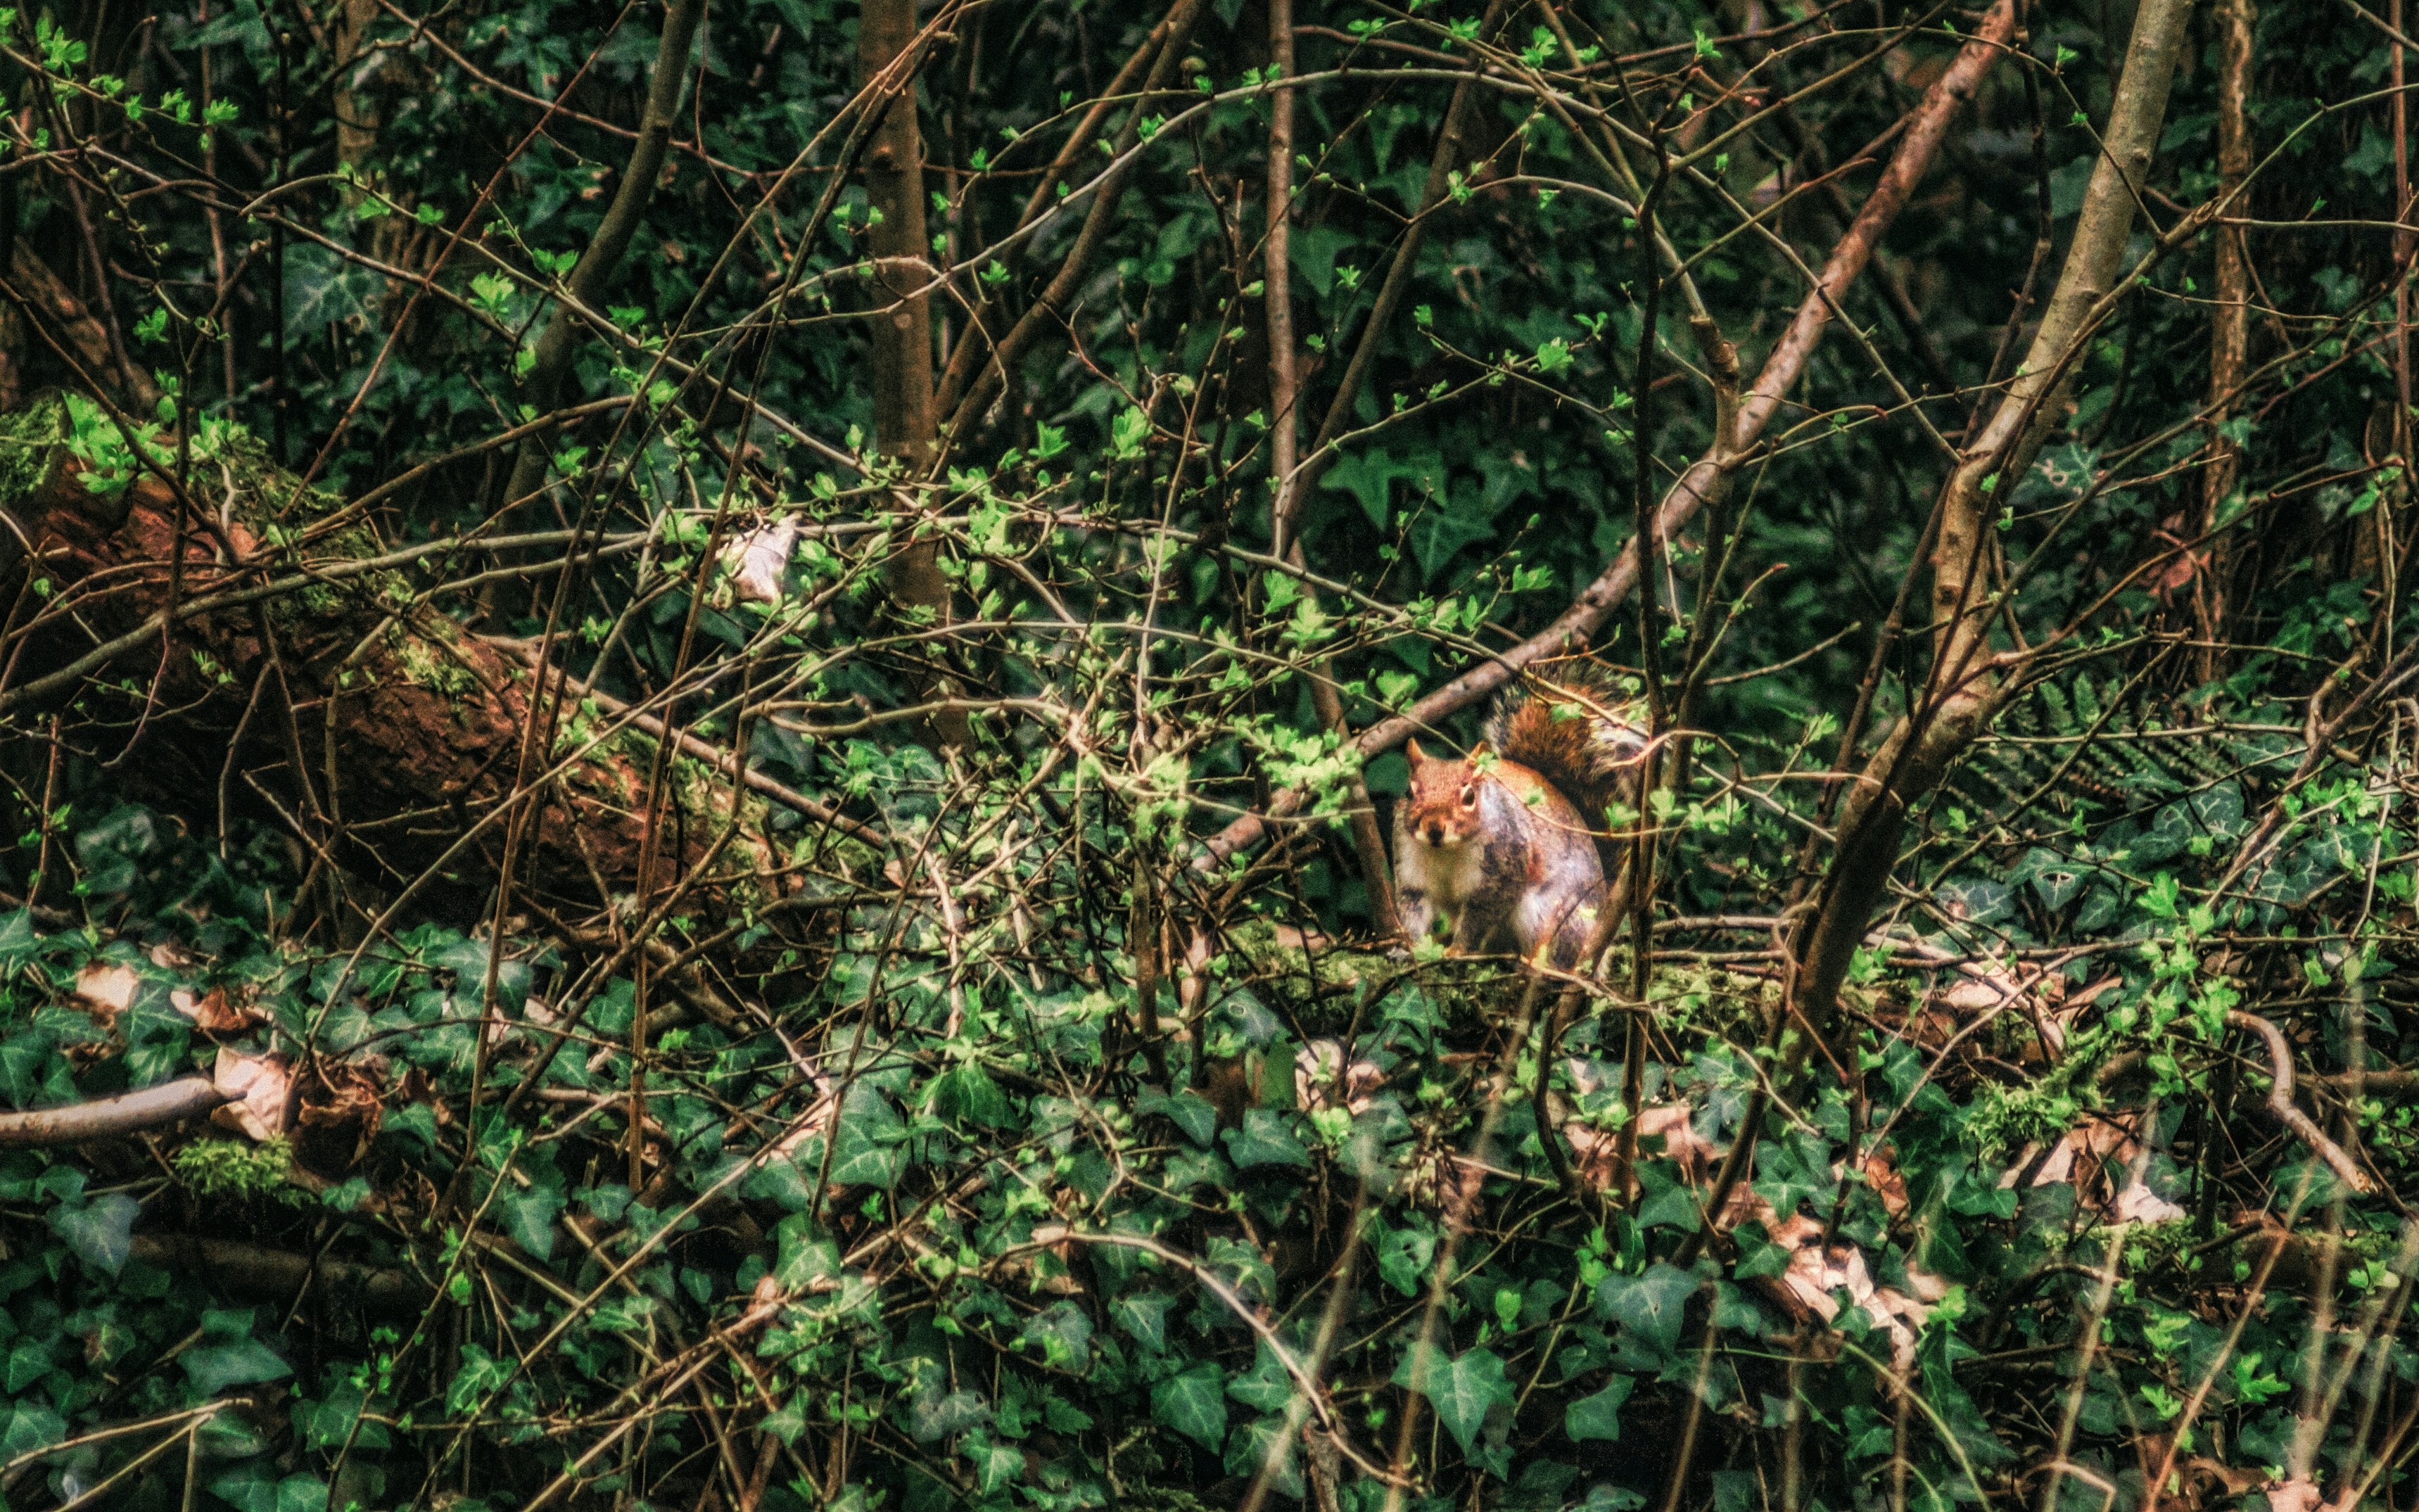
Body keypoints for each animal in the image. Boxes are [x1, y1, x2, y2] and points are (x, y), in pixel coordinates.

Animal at [1393, 667, 1654, 967]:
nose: (1434, 828)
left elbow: (1481, 914)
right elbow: (1413, 908)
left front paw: (1458, 950)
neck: (1445, 851)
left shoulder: (1505, 861)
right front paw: (1411, 949)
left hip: (1549, 915)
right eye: (1409, 792)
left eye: (1470, 797)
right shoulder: (1409, 866)